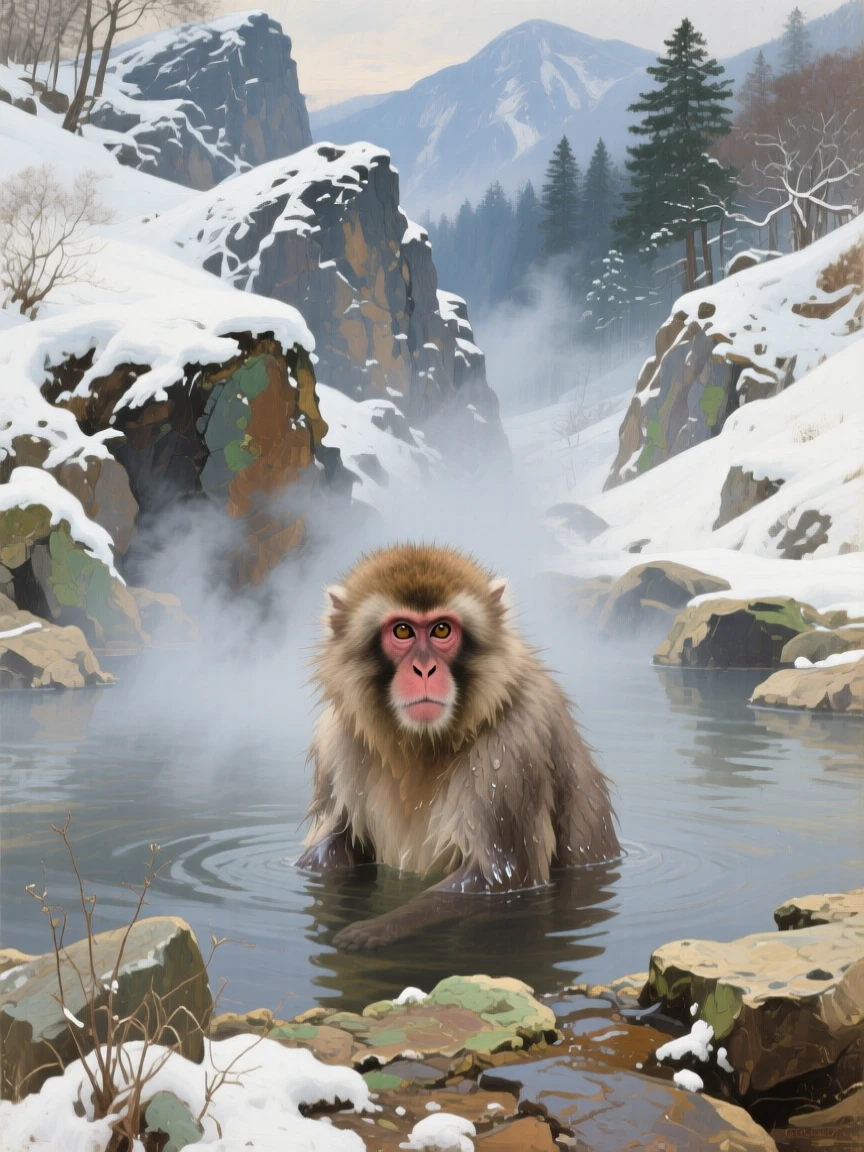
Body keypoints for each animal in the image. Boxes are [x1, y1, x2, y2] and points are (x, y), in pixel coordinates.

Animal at [297, 544, 620, 950]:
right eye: (402, 630)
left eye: (441, 630)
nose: (424, 670)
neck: (420, 745)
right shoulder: (336, 742)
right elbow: (334, 844)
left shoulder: (511, 753)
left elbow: (502, 876)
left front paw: (376, 928)